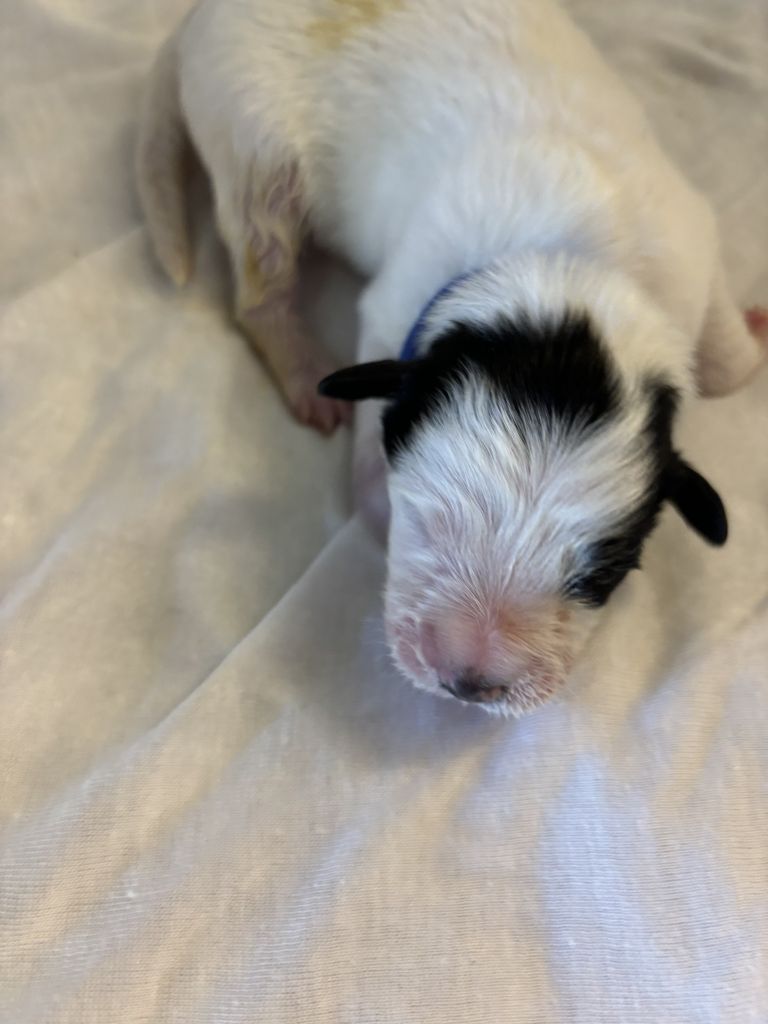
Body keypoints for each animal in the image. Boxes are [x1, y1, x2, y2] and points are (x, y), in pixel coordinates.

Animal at [136, 0, 768, 715]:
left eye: (597, 577)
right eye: (425, 521)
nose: (468, 682)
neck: (565, 261)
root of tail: (194, 18)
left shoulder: (691, 248)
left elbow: (720, 343)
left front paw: (743, 345)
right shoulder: (393, 306)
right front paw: (371, 496)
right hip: (253, 141)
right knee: (258, 280)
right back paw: (298, 366)